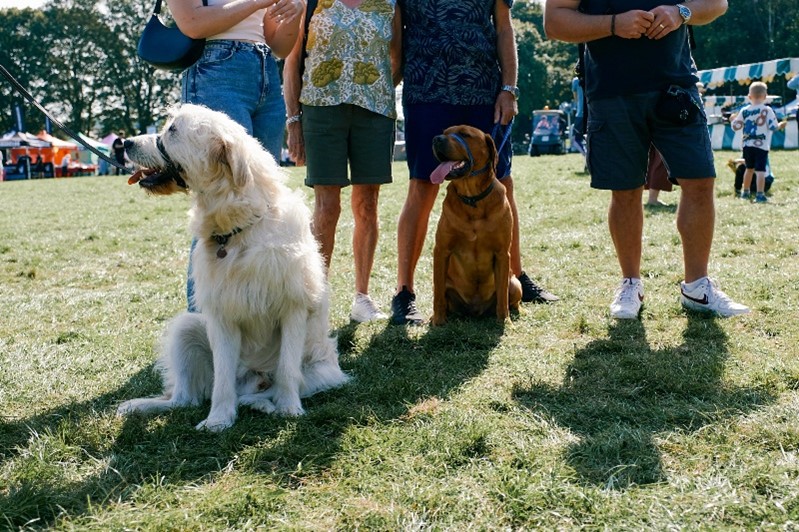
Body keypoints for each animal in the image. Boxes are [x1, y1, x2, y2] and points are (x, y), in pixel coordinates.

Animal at [117, 104, 348, 432]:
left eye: (172, 130)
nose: (125, 143)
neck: (239, 230)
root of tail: (252, 382)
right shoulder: (221, 316)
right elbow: (222, 380)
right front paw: (218, 419)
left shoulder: (293, 309)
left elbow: (288, 369)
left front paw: (290, 409)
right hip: (187, 327)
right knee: (184, 399)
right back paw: (139, 405)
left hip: (322, 369)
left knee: (273, 386)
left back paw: (268, 403)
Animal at [432, 125, 524, 324]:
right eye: (445, 131)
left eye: (465, 134)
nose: (436, 139)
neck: (472, 198)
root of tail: (476, 311)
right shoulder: (441, 250)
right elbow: (437, 292)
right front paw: (437, 321)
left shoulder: (502, 253)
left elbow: (502, 296)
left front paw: (504, 321)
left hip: (515, 283)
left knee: (513, 299)